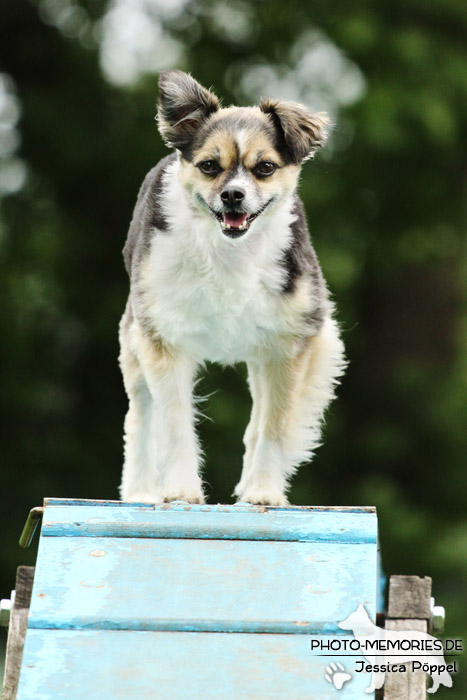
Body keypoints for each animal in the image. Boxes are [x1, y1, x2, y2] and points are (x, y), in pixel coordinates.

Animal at [119, 71, 346, 506]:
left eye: (265, 168)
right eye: (210, 166)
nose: (232, 195)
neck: (230, 249)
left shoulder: (292, 342)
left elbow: (275, 425)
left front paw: (263, 491)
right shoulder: (161, 336)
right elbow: (173, 422)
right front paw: (181, 489)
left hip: (262, 352)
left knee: (258, 417)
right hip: (134, 340)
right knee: (140, 415)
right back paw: (139, 491)